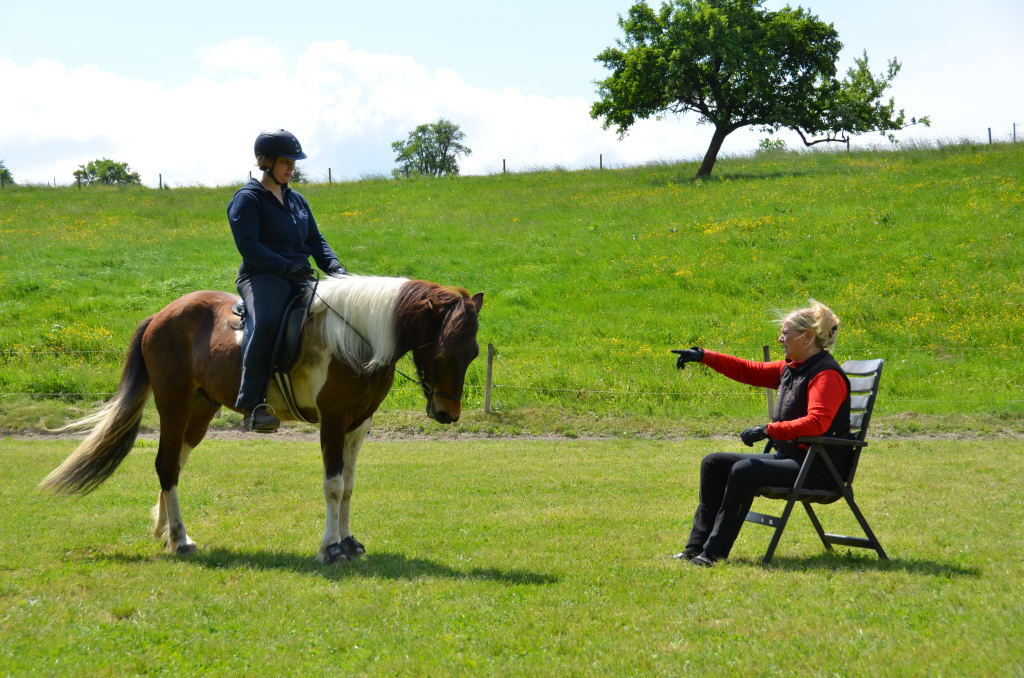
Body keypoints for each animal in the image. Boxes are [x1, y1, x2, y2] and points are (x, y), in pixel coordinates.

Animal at [41, 274, 484, 564]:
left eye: (474, 352)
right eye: (443, 351)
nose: (448, 414)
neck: (355, 337)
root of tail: (161, 315)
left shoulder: (359, 425)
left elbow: (349, 487)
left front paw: (349, 542)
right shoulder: (333, 422)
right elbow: (334, 486)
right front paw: (331, 548)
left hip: (200, 409)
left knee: (175, 465)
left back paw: (166, 532)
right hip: (174, 403)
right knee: (166, 465)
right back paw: (181, 541)